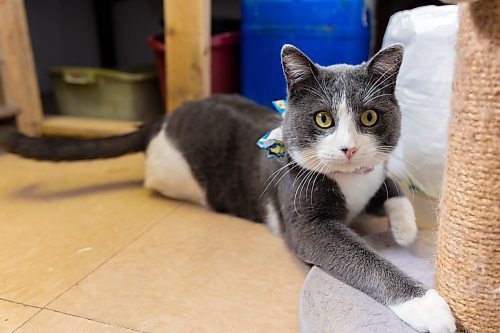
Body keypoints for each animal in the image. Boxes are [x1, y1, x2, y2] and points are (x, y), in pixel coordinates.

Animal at [2, 44, 458, 332]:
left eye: (368, 117)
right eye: (324, 119)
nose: (348, 148)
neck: (349, 181)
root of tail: (163, 118)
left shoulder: (373, 175)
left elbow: (391, 187)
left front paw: (405, 229)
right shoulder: (305, 222)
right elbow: (362, 257)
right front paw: (427, 304)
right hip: (176, 173)